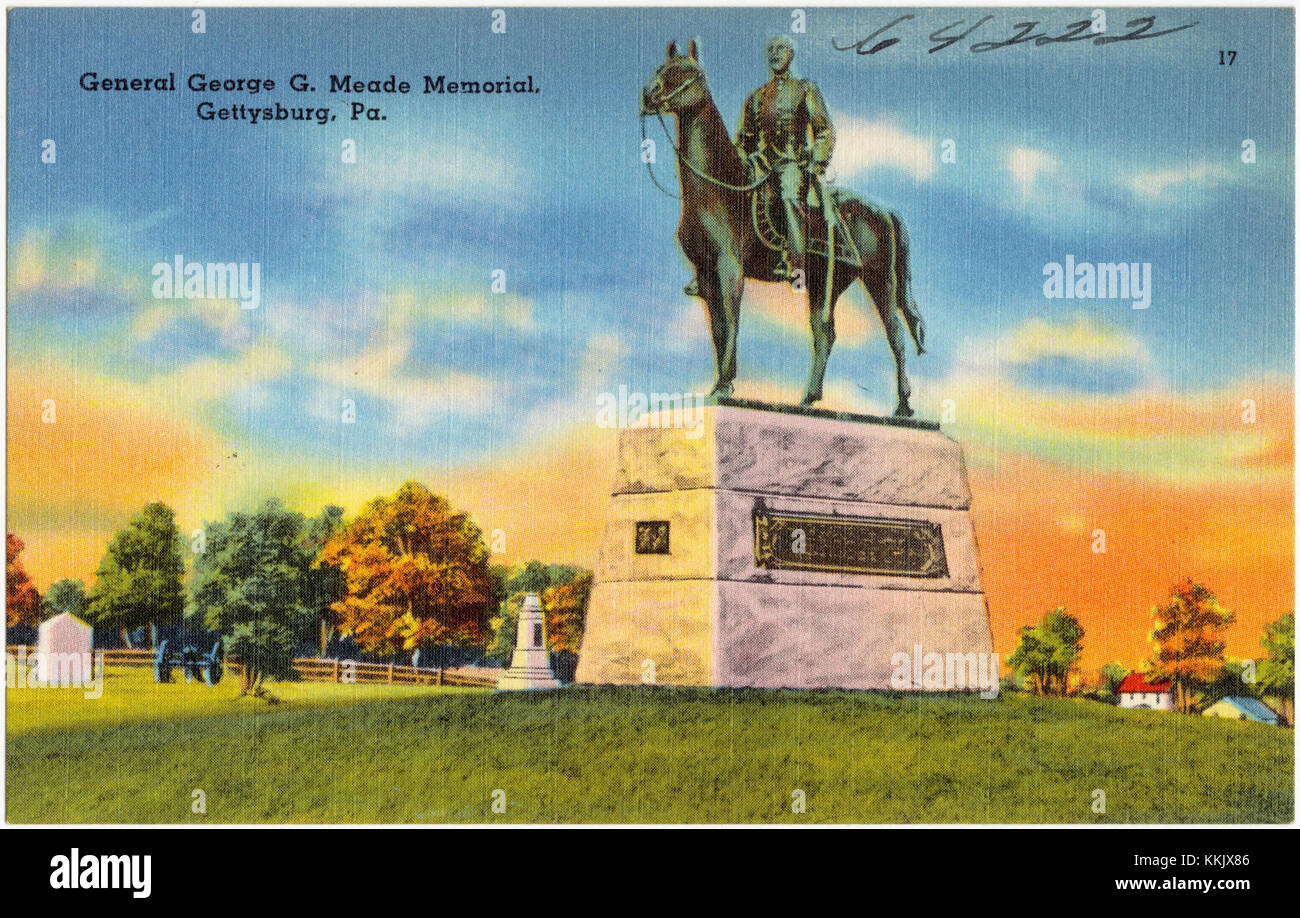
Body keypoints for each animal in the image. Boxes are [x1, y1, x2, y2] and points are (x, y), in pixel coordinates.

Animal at [639, 41, 925, 413]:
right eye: (661, 67)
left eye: (686, 71)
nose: (648, 95)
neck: (719, 187)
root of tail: (884, 210)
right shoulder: (706, 273)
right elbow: (718, 329)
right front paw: (718, 384)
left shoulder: (730, 269)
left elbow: (731, 321)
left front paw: (725, 385)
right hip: (825, 283)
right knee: (825, 332)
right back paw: (808, 398)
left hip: (880, 281)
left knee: (895, 333)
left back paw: (903, 407)